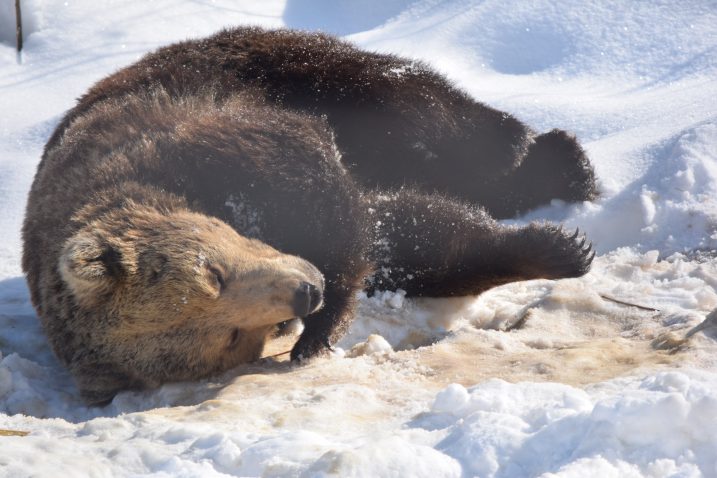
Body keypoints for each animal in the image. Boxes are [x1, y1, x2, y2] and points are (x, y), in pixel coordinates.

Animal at [22, 27, 596, 404]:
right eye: (230, 336)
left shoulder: (206, 141)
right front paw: (552, 248)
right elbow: (406, 237)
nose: (306, 292)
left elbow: (341, 200)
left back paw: (562, 162)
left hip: (303, 70)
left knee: (441, 121)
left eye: (214, 274)